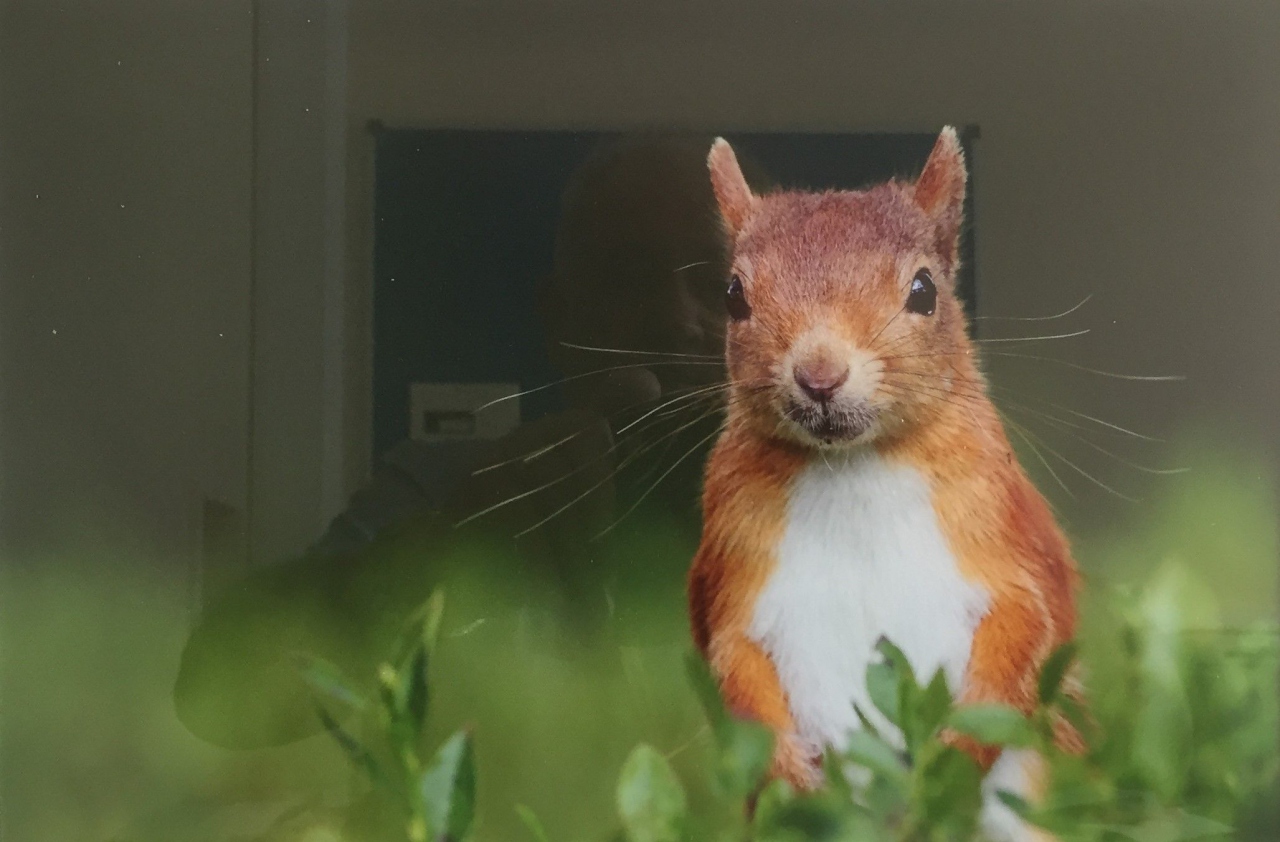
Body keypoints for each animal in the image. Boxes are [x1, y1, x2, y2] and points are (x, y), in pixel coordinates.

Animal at [686, 127, 1085, 834]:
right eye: (734, 295)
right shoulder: (734, 553)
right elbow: (733, 663)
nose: (819, 374)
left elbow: (1027, 624)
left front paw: (952, 754)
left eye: (924, 290)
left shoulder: (998, 524)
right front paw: (793, 776)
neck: (854, 465)